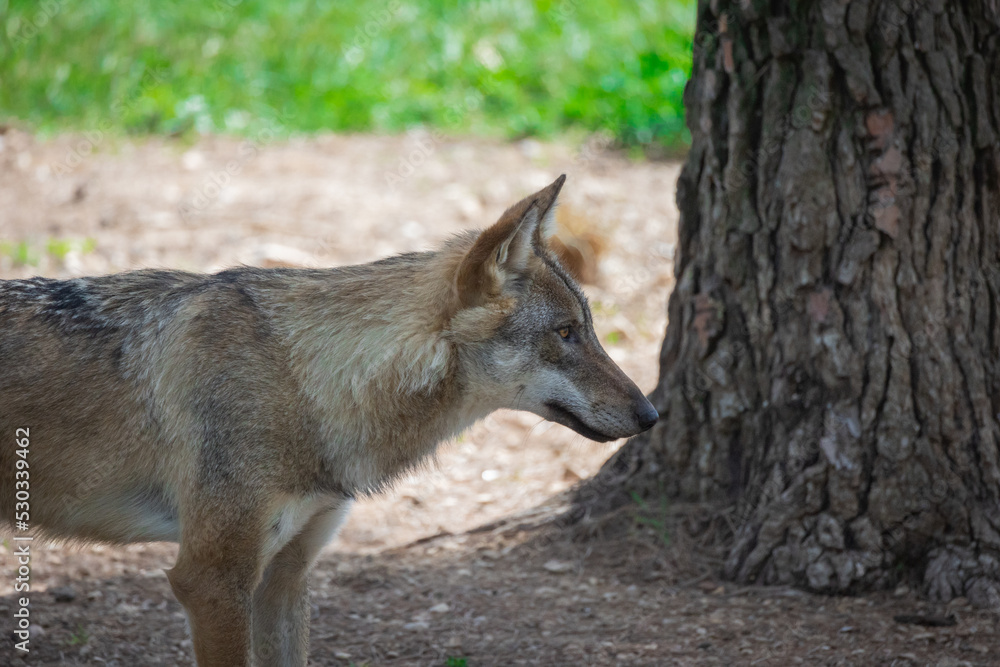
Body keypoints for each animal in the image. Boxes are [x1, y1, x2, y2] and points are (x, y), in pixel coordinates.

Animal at [0, 175, 657, 666]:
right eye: (565, 334)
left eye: (589, 328)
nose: (651, 413)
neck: (302, 380)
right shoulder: (211, 582)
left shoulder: (285, 578)